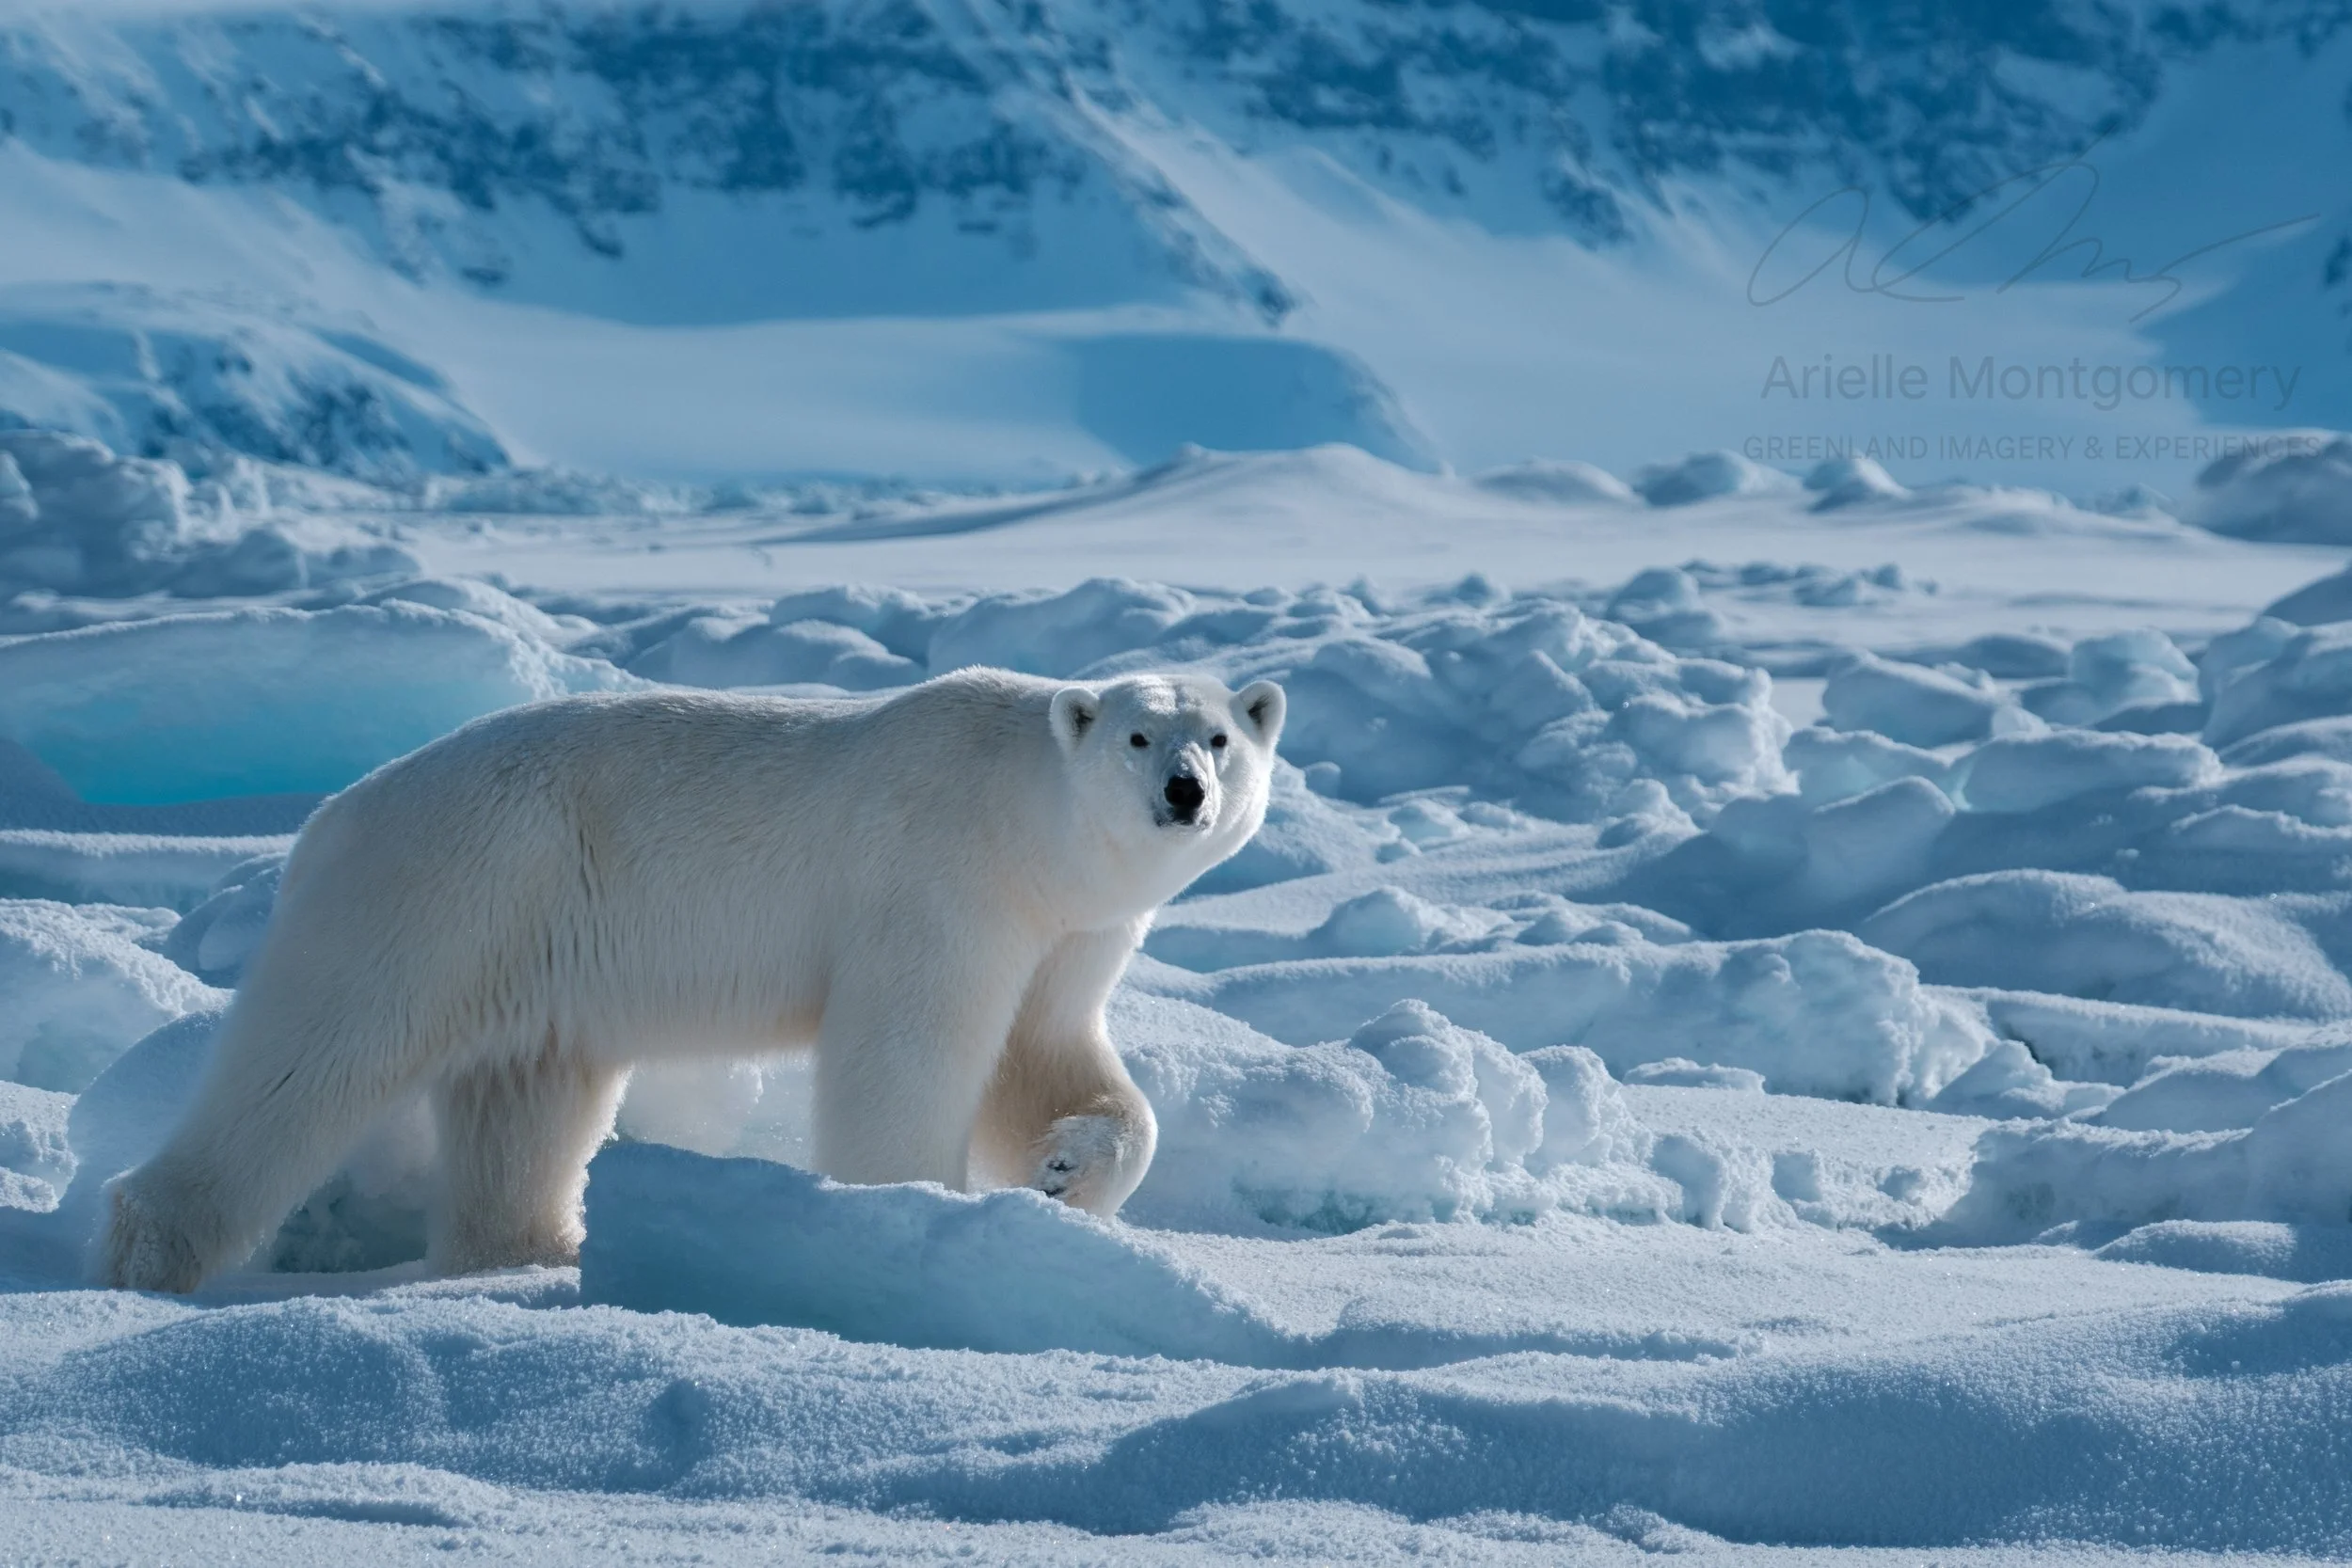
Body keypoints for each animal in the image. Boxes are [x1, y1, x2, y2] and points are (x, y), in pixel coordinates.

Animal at [97, 666, 1285, 1293]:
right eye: (1138, 734)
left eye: (1221, 736)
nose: (1184, 791)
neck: (1021, 816)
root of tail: (330, 816)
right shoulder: (939, 884)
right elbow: (910, 1052)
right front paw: (902, 1216)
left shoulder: (1064, 930)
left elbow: (1048, 1055)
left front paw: (1064, 1166)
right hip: (443, 892)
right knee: (309, 1059)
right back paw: (151, 1253)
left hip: (527, 951)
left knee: (524, 1098)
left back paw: (534, 1251)